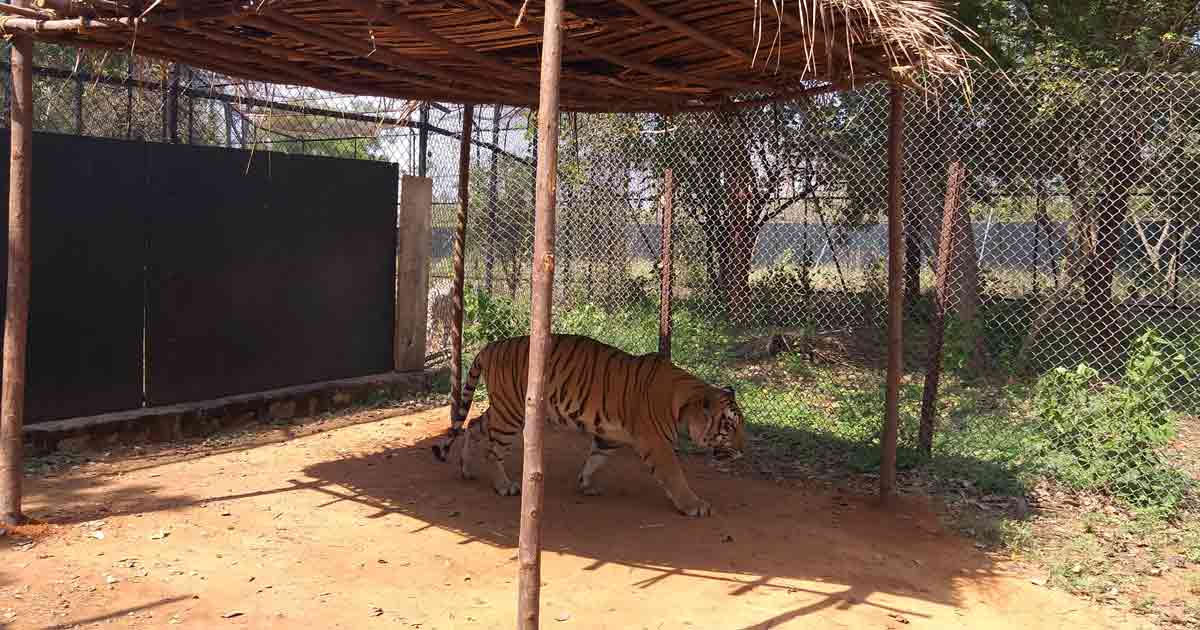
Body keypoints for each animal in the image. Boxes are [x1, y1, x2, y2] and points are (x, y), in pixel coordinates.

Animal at [432, 333, 744, 516]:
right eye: (728, 427)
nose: (743, 452)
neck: (682, 403)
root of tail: (492, 345)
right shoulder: (658, 445)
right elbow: (675, 477)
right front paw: (695, 506)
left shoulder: (611, 436)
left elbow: (597, 458)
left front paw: (585, 483)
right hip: (511, 413)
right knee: (492, 448)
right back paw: (504, 486)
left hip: (505, 407)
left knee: (473, 425)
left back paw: (466, 470)